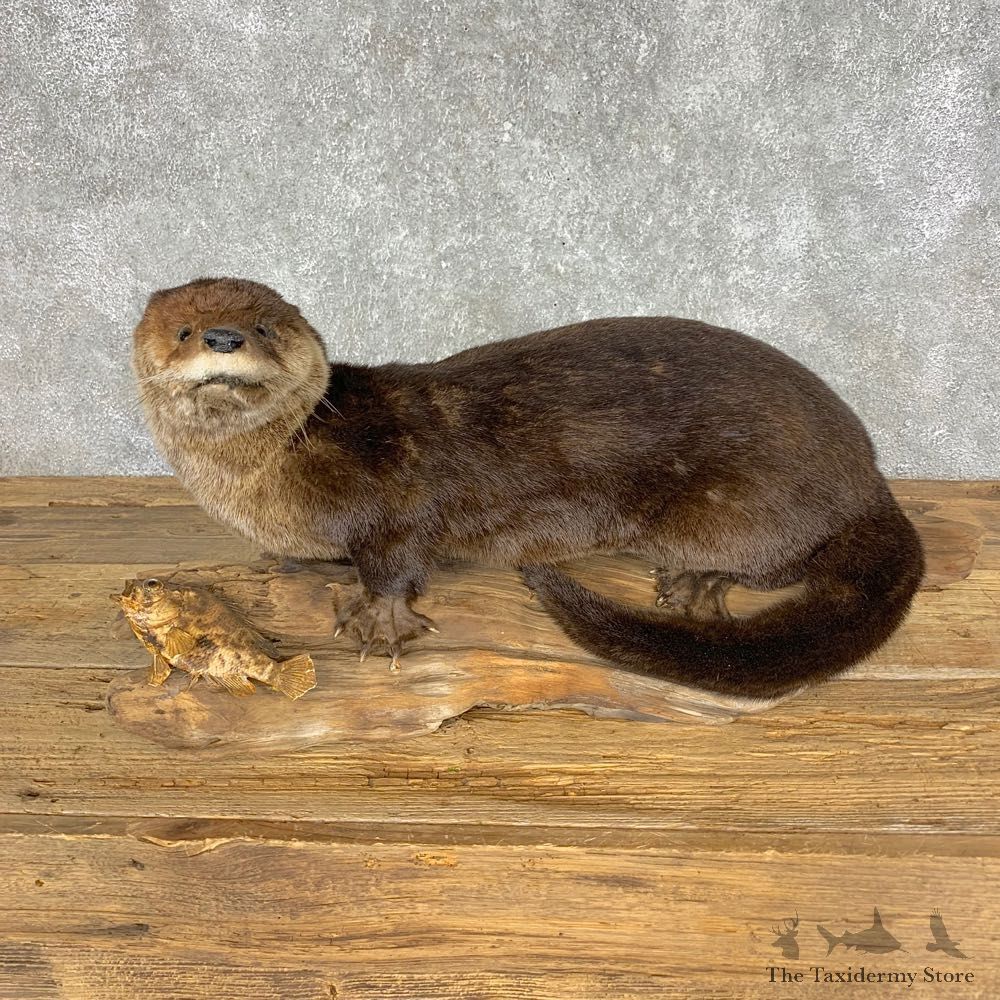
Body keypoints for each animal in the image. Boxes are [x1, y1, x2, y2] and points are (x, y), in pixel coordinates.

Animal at [132, 276, 923, 699]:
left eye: (266, 327)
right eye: (185, 330)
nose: (225, 337)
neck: (267, 470)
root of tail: (868, 475)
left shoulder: (391, 488)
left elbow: (397, 555)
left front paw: (379, 618)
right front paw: (289, 562)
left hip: (742, 504)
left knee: (783, 562)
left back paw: (698, 582)